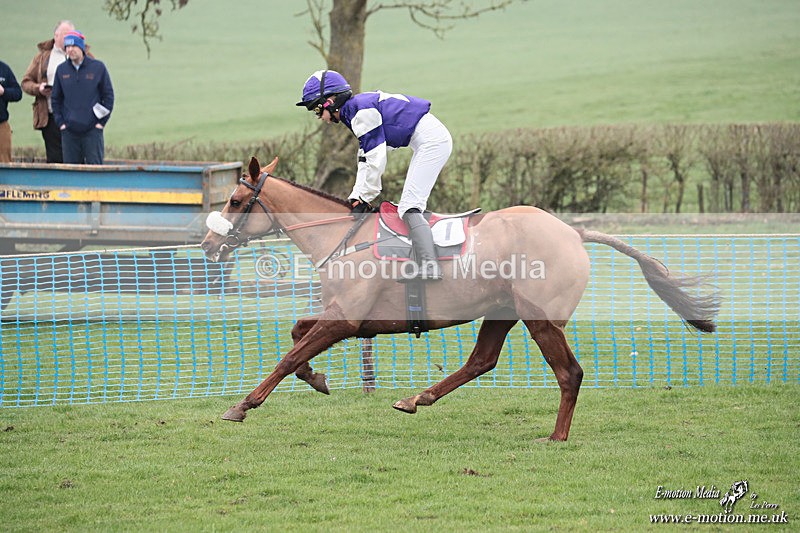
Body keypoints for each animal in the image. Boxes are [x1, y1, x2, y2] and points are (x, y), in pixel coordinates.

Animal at [200, 156, 719, 441]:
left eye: (234, 201)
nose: (207, 245)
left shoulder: (346, 320)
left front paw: (243, 405)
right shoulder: (348, 319)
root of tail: (573, 232)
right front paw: (318, 378)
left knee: (569, 373)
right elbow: (296, 336)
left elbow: (288, 355)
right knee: (481, 361)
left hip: (540, 318)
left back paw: (556, 436)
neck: (342, 237)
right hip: (501, 312)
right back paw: (417, 398)